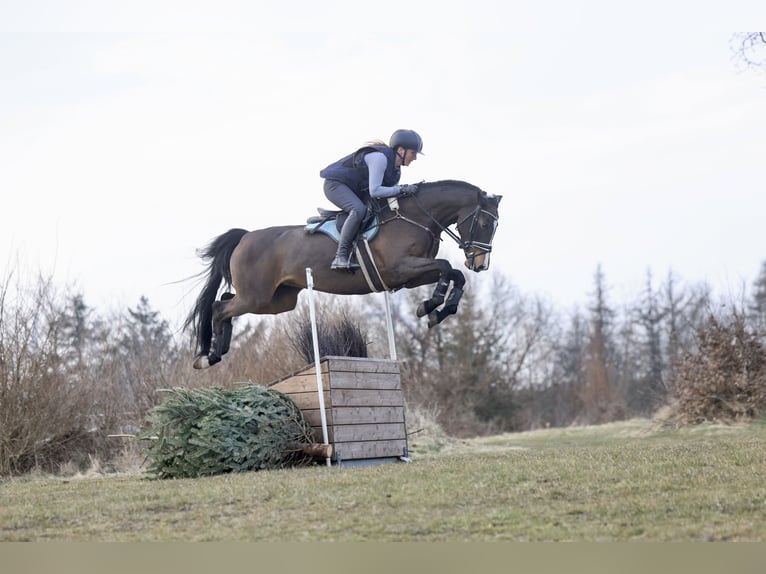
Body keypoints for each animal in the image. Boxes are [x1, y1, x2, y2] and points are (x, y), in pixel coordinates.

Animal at [184, 179, 502, 369]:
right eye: (485, 223)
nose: (480, 263)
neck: (414, 217)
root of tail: (246, 236)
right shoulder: (400, 268)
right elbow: (447, 268)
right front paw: (431, 305)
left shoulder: (410, 276)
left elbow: (455, 274)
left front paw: (438, 310)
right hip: (258, 296)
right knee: (219, 306)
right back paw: (209, 356)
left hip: (276, 300)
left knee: (226, 300)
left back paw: (217, 351)